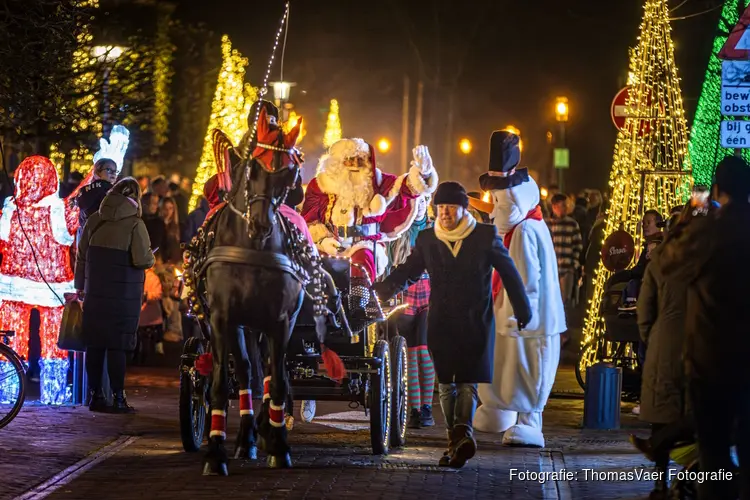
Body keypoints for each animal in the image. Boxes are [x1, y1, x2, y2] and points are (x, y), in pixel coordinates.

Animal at [201, 107, 306, 474]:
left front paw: (280, 445)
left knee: (268, 373)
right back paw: (245, 437)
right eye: (253, 167)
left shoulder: (282, 320)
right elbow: (221, 383)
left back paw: (263, 430)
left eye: (289, 174)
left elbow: (279, 382)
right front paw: (215, 454)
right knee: (247, 371)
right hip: (241, 325)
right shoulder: (222, 317)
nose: (261, 225)